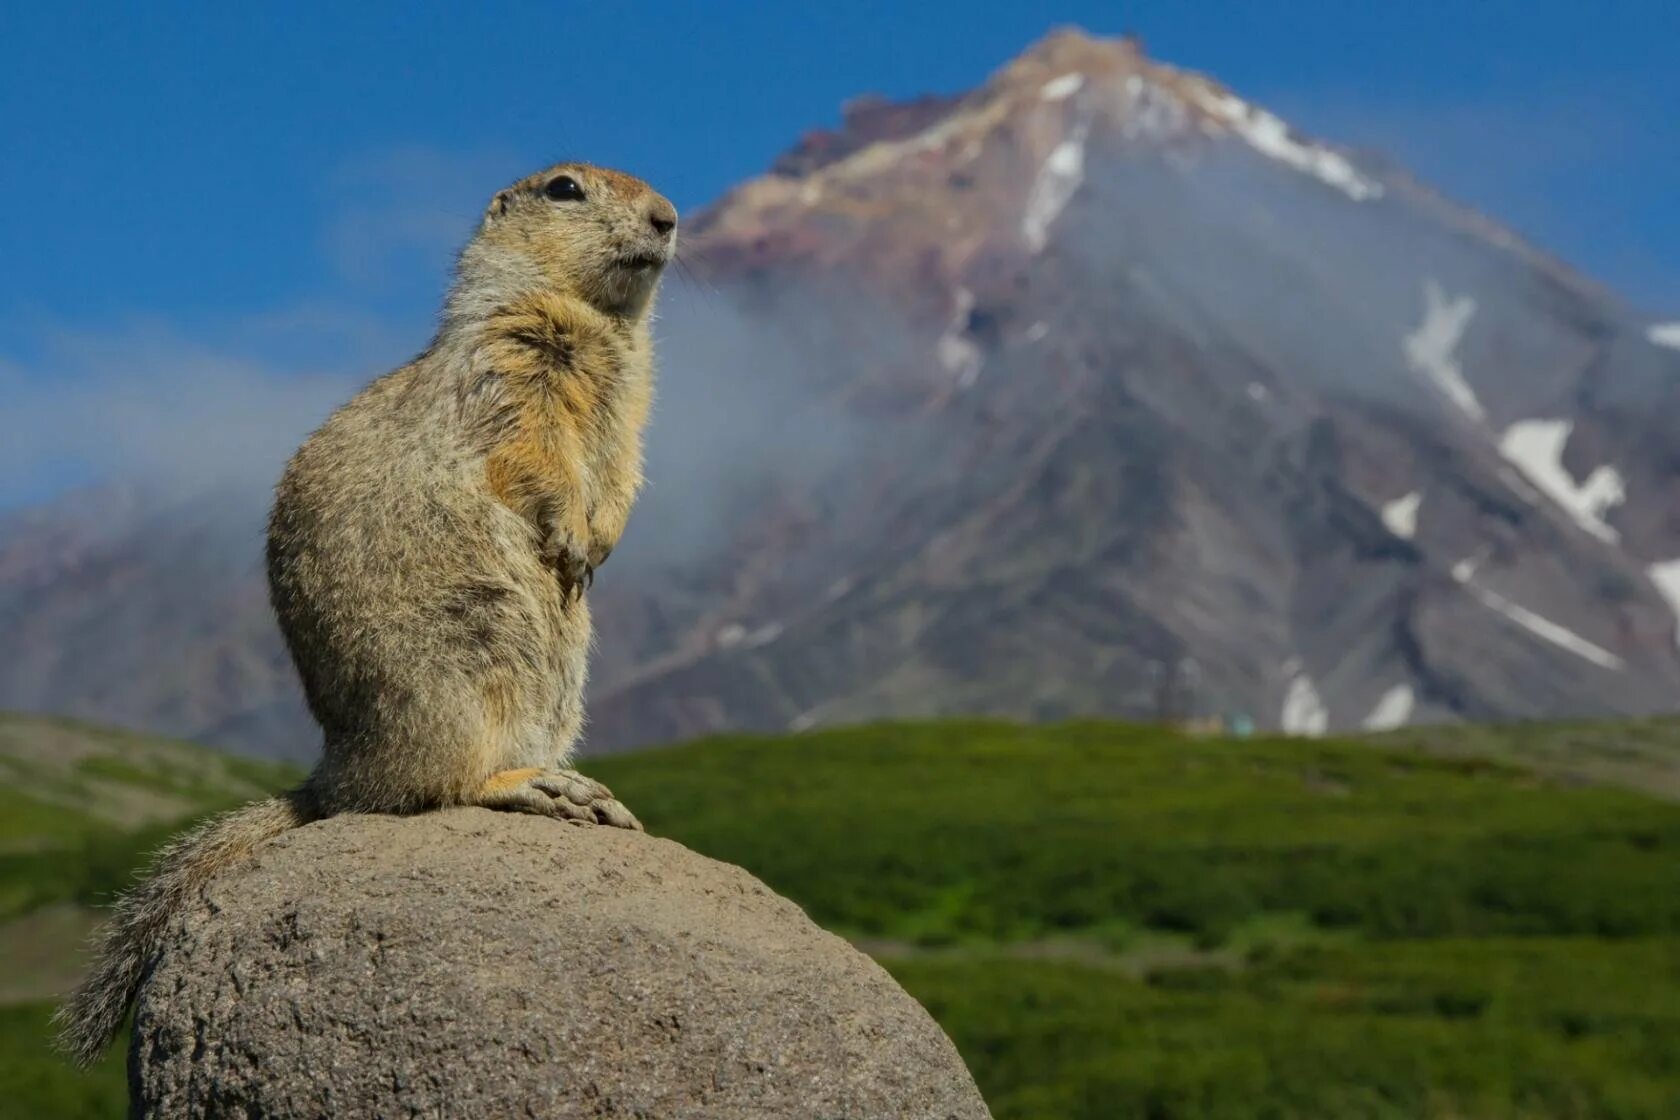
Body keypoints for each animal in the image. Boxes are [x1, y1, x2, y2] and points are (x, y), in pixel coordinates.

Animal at [60, 159, 675, 1067]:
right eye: (565, 188)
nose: (669, 217)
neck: (602, 324)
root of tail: (337, 774)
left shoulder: (632, 399)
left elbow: (626, 465)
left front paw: (601, 540)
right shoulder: (508, 363)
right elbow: (535, 446)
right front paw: (570, 532)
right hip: (459, 667)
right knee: (430, 789)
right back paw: (531, 785)